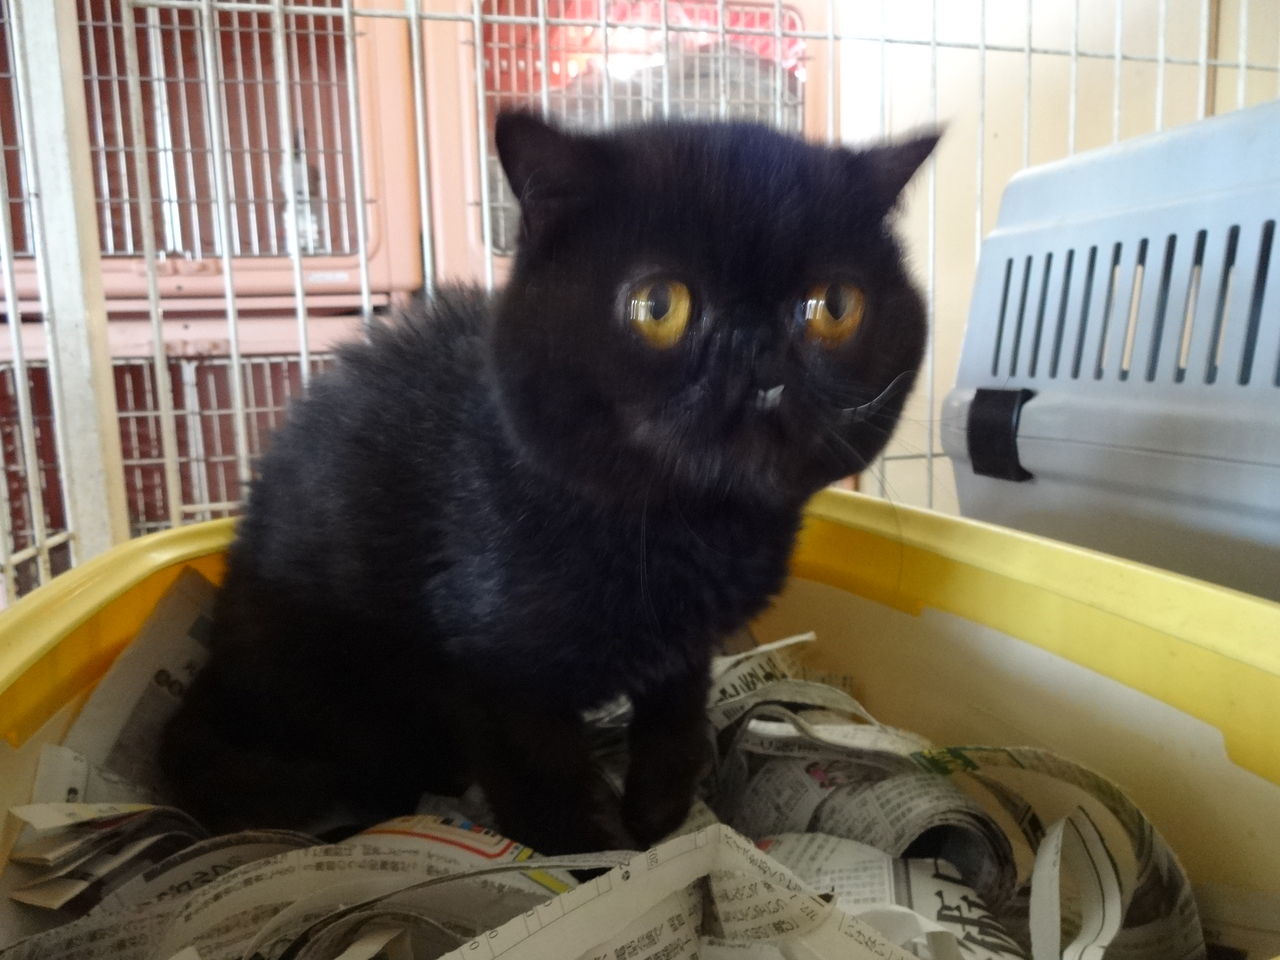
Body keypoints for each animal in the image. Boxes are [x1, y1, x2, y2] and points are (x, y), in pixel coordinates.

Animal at [159, 110, 937, 854]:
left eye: (834, 305)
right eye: (658, 306)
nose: (759, 356)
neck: (685, 528)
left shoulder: (686, 650)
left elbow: (673, 721)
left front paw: (659, 817)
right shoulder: (495, 670)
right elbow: (541, 779)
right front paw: (597, 858)